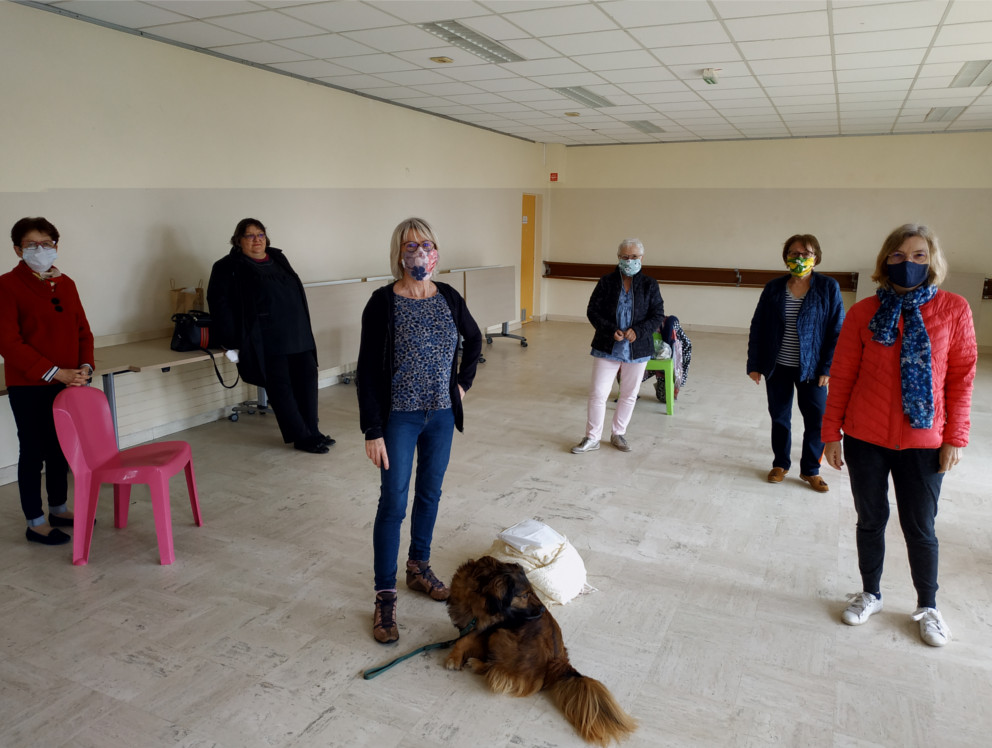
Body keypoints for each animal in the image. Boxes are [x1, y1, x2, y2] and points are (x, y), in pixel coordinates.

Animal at [445, 556, 637, 746]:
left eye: (531, 592)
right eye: (524, 595)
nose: (544, 609)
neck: (476, 597)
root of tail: (558, 663)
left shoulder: (490, 627)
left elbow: (464, 639)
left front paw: (454, 658)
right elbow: (463, 635)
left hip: (501, 635)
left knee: (498, 669)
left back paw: (477, 663)